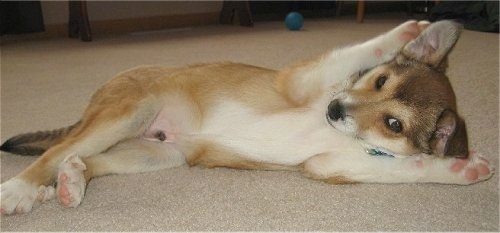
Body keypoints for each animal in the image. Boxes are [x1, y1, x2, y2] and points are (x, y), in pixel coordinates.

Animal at [0, 20, 492, 215]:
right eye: (380, 79)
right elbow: (354, 51)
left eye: (394, 124)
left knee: (83, 159)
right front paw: (403, 31)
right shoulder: (300, 81)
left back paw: (71, 183)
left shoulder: (328, 164)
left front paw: (462, 169)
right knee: (54, 153)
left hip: (156, 153)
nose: (335, 110)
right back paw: (20, 190)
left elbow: (408, 166)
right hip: (128, 111)